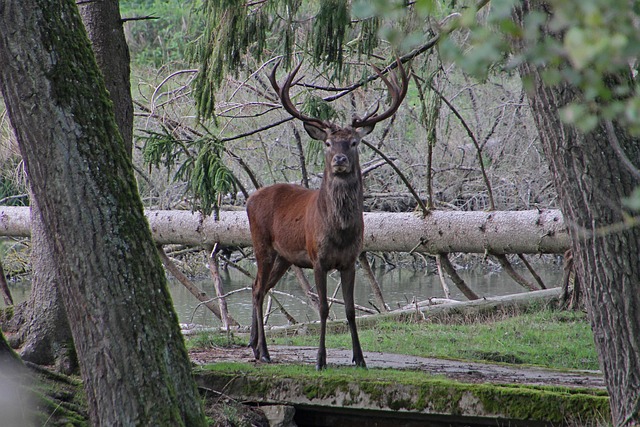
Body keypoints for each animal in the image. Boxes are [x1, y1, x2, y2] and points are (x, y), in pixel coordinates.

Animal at [248, 59, 408, 372]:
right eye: (328, 143)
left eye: (354, 143)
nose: (340, 160)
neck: (341, 231)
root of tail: (249, 198)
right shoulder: (317, 258)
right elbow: (322, 308)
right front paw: (320, 360)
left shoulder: (351, 260)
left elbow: (350, 310)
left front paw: (360, 358)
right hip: (262, 245)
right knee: (259, 289)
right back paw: (263, 352)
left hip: (284, 257)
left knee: (258, 287)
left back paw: (255, 346)